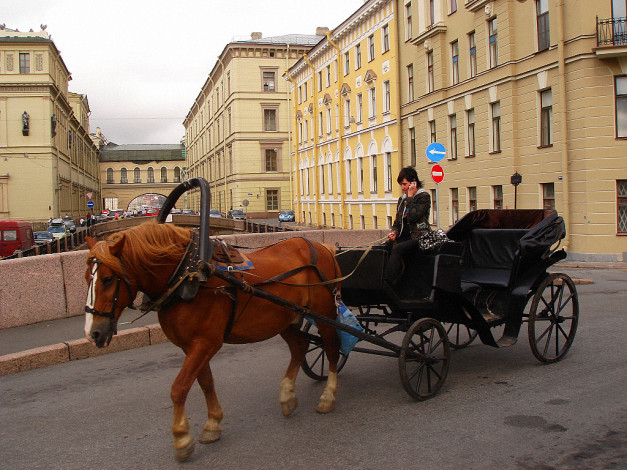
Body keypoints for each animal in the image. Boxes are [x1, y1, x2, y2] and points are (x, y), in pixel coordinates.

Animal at [83, 222, 340, 460]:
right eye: (87, 278)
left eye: (107, 279)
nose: (93, 333)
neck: (188, 275)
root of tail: (323, 247)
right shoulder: (193, 345)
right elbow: (205, 383)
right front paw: (213, 424)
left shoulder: (205, 343)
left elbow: (179, 388)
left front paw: (181, 438)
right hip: (284, 319)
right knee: (300, 347)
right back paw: (287, 396)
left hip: (325, 312)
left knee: (332, 349)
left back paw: (328, 396)